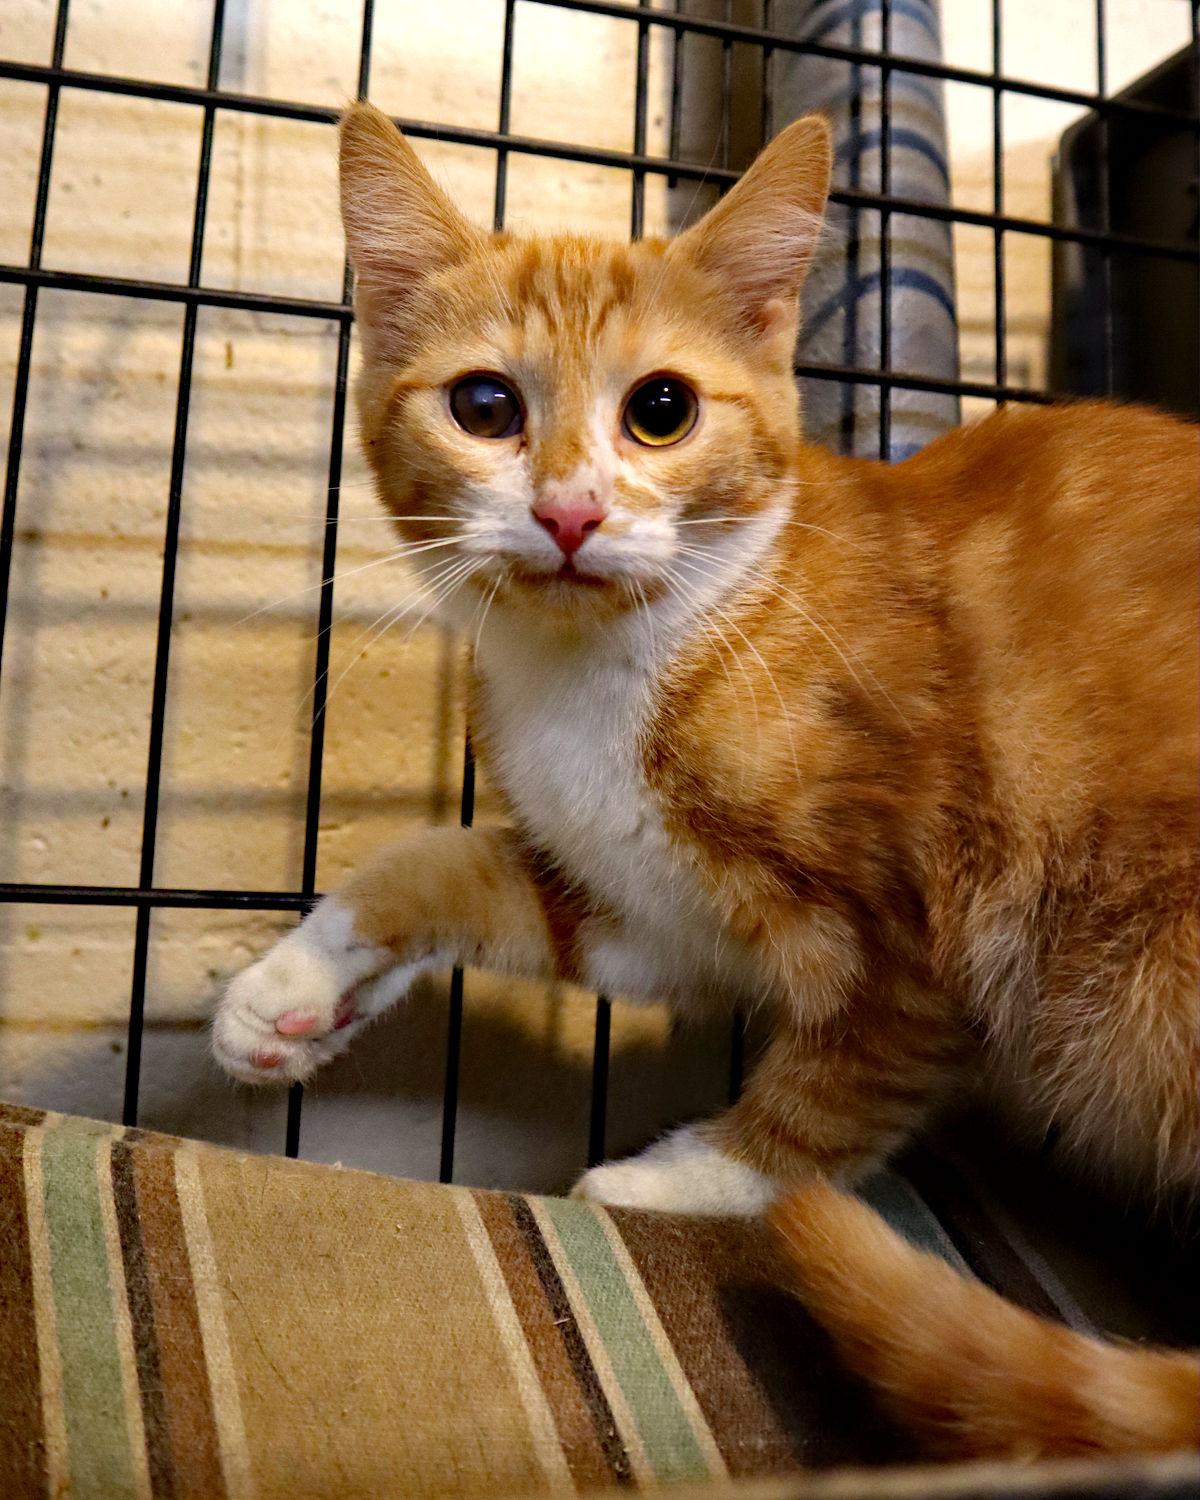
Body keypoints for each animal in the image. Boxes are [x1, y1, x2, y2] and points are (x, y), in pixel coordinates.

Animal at [211, 102, 1194, 1452]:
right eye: (485, 404)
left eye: (662, 409)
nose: (570, 512)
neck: (612, 667)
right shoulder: (649, 905)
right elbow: (457, 861)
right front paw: (294, 985)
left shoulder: (925, 919)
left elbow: (843, 1084)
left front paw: (691, 1175)